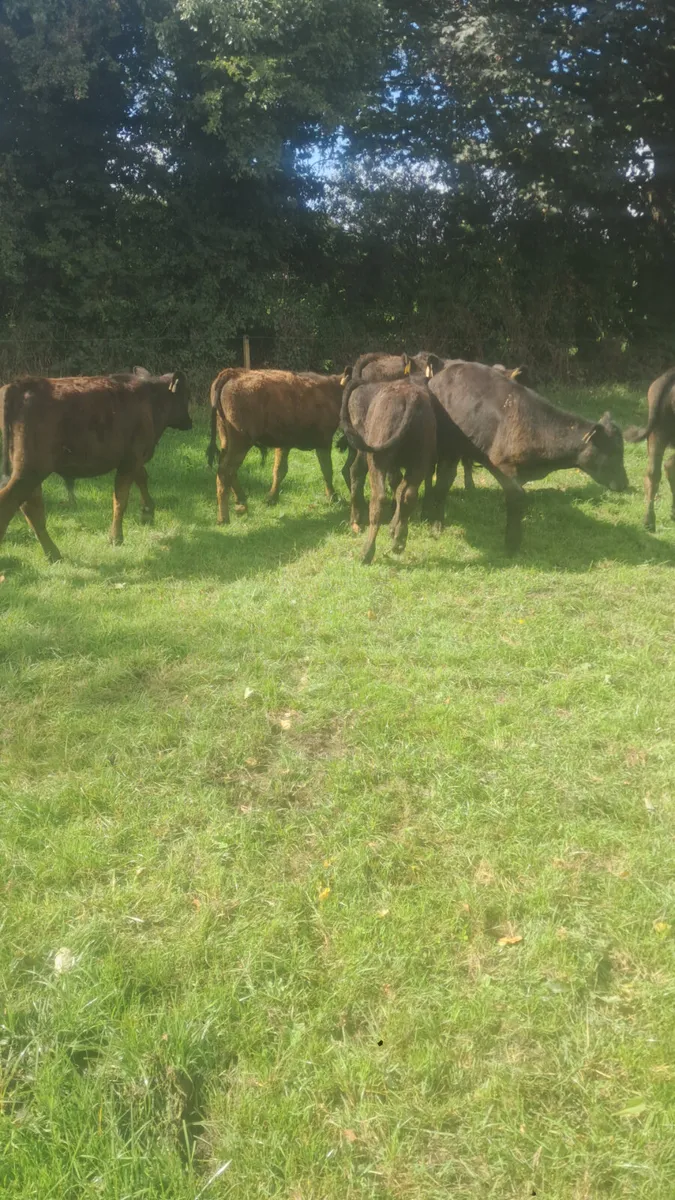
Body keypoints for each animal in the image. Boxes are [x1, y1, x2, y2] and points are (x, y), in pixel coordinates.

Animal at [0, 369, 191, 561]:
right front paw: (116, 538)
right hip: (31, 470)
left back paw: (52, 553)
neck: (150, 399)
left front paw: (147, 513)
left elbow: (142, 478)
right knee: (11, 502)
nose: (189, 422)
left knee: (31, 506)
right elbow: (121, 498)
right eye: (185, 396)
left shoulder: (134, 458)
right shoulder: (131, 460)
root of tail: (21, 384)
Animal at [206, 368, 344, 524]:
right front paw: (333, 497)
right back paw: (224, 518)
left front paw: (271, 498)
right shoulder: (324, 441)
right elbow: (327, 470)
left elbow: (279, 470)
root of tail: (233, 373)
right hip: (240, 443)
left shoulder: (284, 445)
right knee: (225, 471)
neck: (331, 390)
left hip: (226, 440)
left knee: (228, 470)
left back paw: (241, 502)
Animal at [339, 375, 437, 564]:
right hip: (419, 463)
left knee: (376, 495)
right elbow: (399, 488)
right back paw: (398, 541)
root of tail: (411, 397)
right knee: (408, 495)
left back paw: (366, 551)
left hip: (376, 459)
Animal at [424, 359, 628, 552]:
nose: (625, 483)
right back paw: (435, 523)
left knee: (445, 480)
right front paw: (512, 544)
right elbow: (516, 499)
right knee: (440, 482)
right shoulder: (504, 467)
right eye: (613, 452)